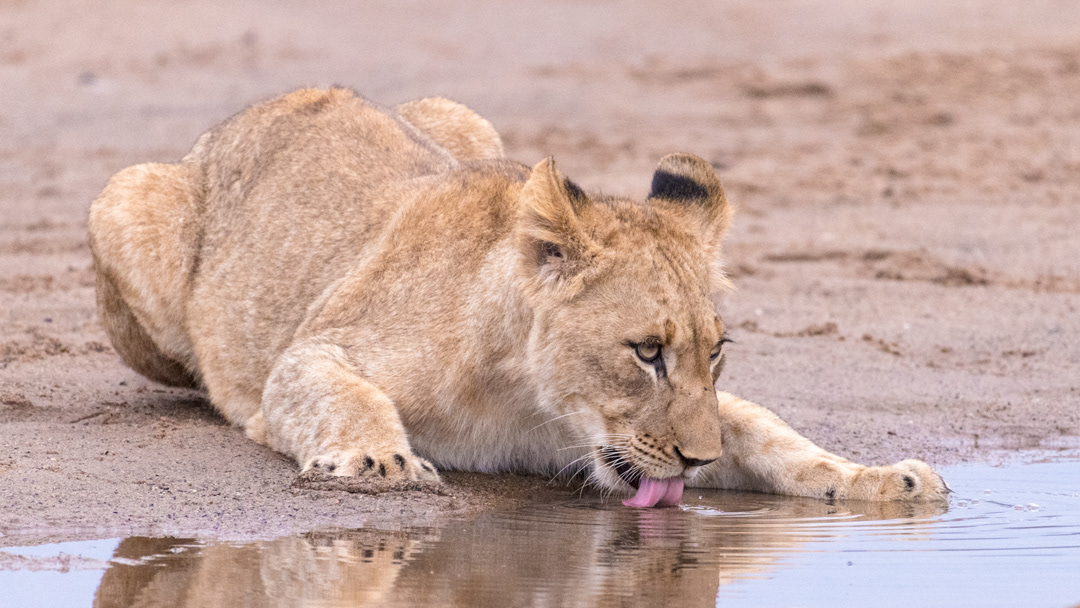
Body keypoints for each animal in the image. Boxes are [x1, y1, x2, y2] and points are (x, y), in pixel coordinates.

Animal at [88, 87, 948, 507]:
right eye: (647, 352)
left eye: (717, 352)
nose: (698, 461)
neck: (522, 397)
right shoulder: (313, 352)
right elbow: (343, 397)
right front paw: (377, 461)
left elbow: (772, 436)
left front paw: (882, 478)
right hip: (121, 198)